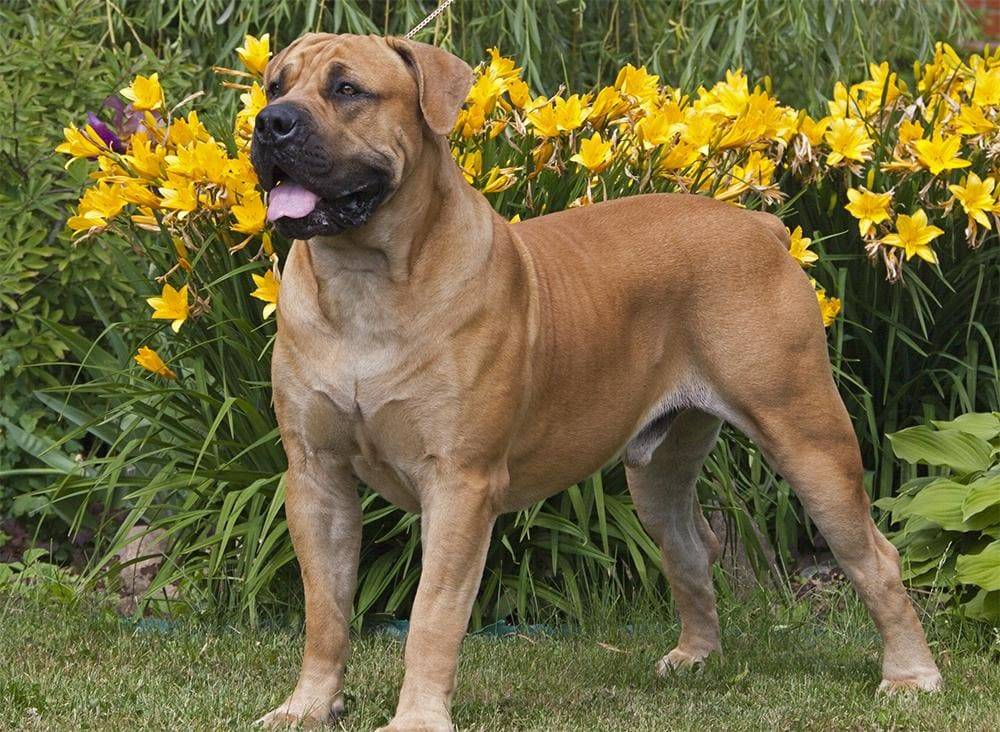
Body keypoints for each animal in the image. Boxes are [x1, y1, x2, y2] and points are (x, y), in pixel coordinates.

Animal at [250, 33, 942, 731]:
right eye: (275, 85)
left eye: (347, 90)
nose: (271, 123)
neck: (363, 279)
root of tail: (762, 228)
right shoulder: (316, 475)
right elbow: (325, 610)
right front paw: (307, 707)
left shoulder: (458, 484)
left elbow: (432, 614)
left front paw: (417, 718)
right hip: (659, 471)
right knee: (690, 546)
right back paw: (696, 656)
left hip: (806, 437)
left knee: (873, 557)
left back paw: (910, 676)